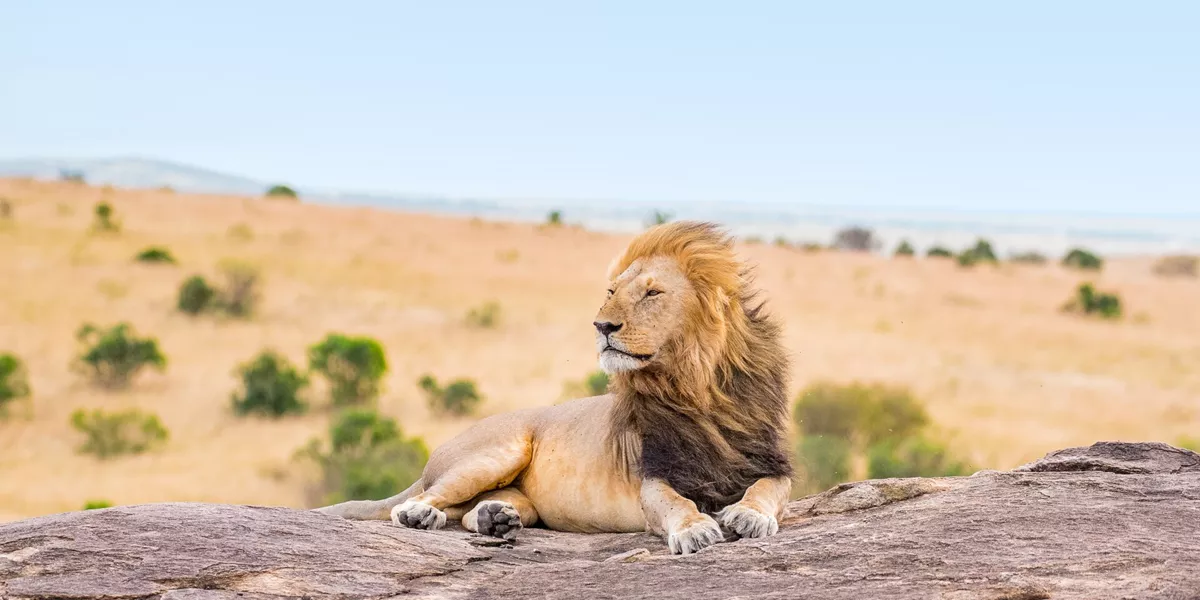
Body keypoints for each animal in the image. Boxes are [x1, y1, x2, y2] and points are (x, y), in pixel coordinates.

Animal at [316, 220, 794, 555]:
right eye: (611, 291)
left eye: (652, 293)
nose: (602, 325)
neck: (695, 386)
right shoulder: (654, 476)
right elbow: (676, 503)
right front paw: (696, 530)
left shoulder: (768, 462)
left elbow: (768, 490)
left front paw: (749, 516)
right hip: (494, 453)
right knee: (420, 499)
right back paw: (422, 515)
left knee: (469, 512)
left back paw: (493, 519)